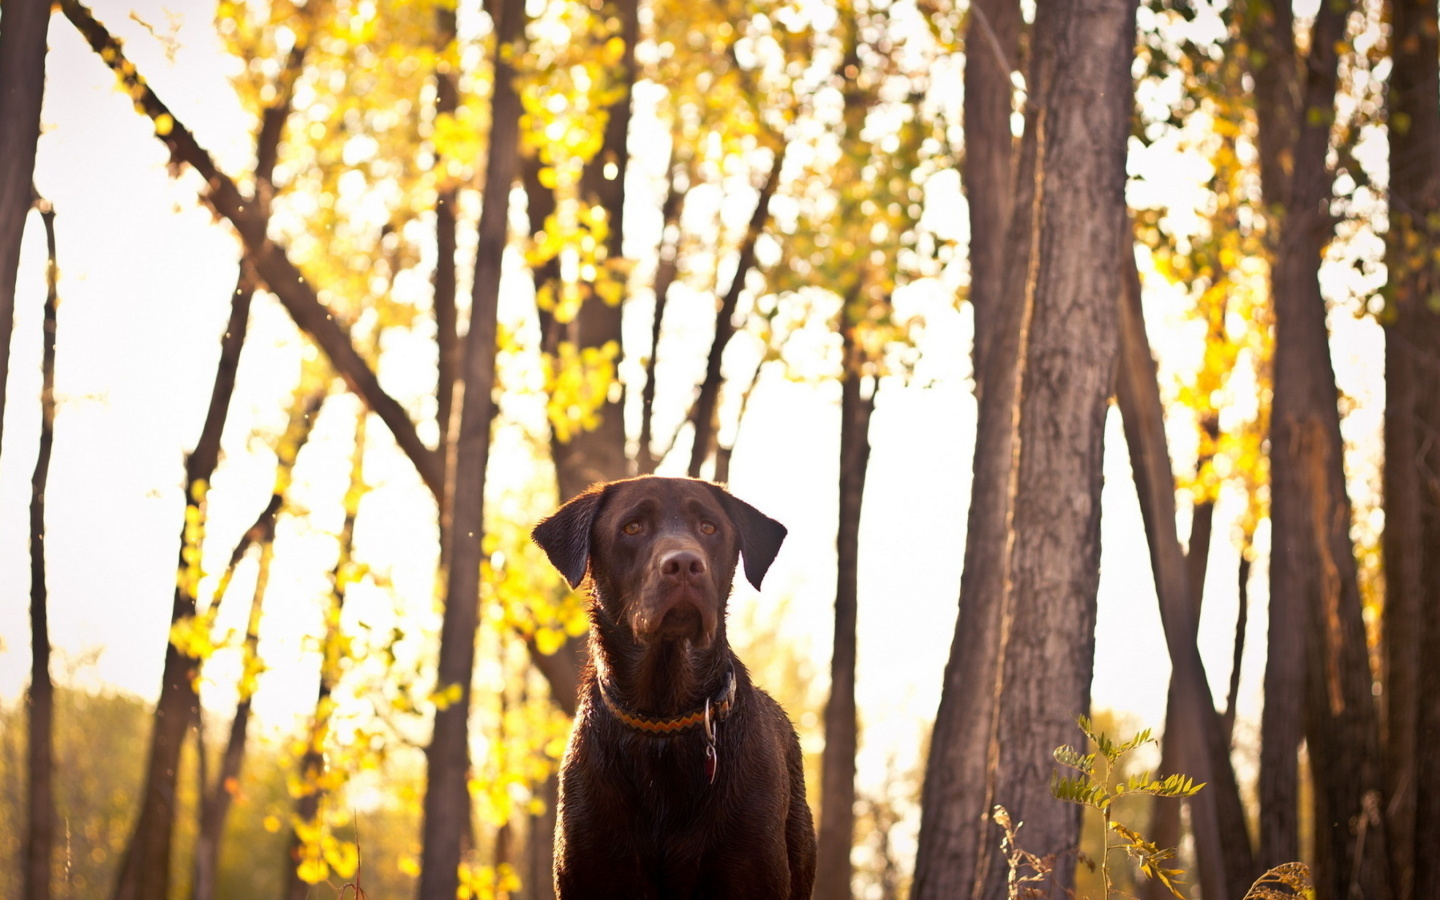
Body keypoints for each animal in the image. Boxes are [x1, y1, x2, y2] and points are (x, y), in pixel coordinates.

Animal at [532, 475, 823, 892]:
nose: (685, 563)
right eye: (632, 527)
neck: (663, 719)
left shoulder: (751, 868)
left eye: (709, 528)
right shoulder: (590, 868)